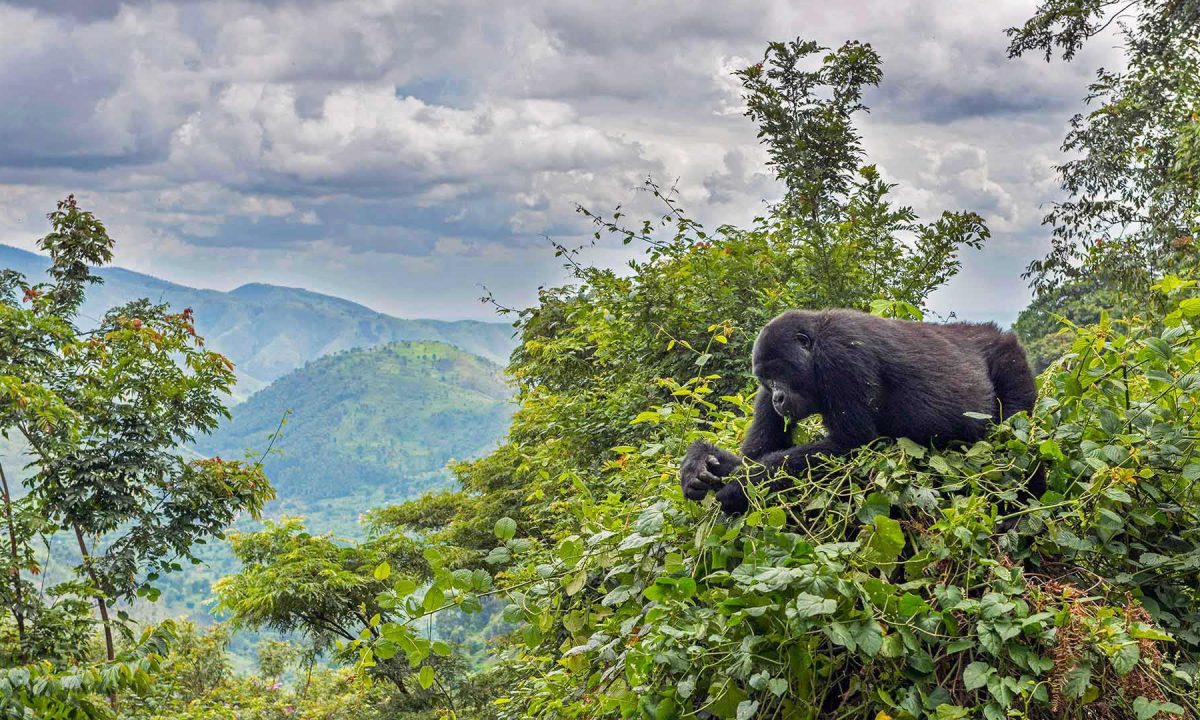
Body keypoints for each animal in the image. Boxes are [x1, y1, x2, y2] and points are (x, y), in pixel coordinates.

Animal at [686, 306, 1041, 513]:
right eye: (766, 380)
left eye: (779, 373)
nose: (777, 399)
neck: (816, 340)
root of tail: (1000, 334)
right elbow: (756, 453)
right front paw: (699, 462)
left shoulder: (840, 356)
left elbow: (852, 444)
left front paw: (741, 486)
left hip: (1011, 363)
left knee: (1016, 446)